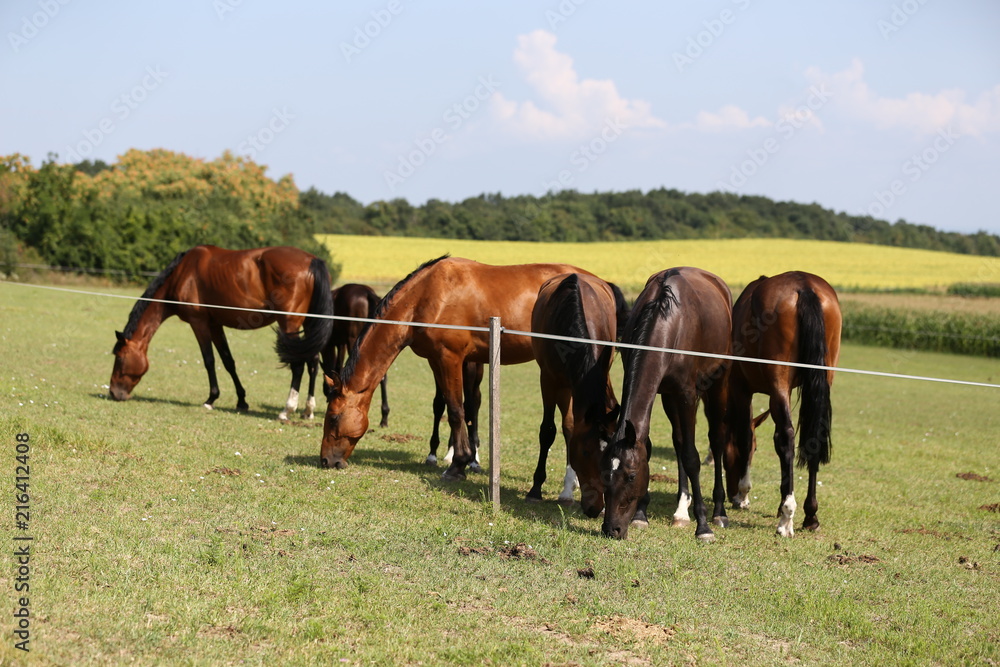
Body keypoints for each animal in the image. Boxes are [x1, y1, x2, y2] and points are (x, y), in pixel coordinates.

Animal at [109, 245, 334, 420]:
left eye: (119, 357)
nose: (113, 392)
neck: (182, 274)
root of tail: (312, 261)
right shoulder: (215, 325)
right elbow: (228, 362)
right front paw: (241, 400)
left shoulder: (199, 323)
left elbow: (209, 361)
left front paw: (211, 399)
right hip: (309, 325)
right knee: (313, 362)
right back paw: (308, 410)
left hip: (289, 324)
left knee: (298, 365)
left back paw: (287, 410)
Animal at [321, 255, 596, 478]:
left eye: (333, 417)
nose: (325, 460)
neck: (426, 296)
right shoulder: (436, 361)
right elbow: (445, 406)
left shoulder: (450, 358)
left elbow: (456, 410)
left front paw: (458, 464)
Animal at [526, 273, 628, 517]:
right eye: (585, 453)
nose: (595, 508)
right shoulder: (550, 381)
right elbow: (548, 431)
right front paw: (535, 489)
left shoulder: (600, 373)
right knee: (568, 426)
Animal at [601, 267, 732, 541]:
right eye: (603, 472)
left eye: (631, 476)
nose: (612, 529)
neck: (668, 322)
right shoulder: (663, 391)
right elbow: (651, 447)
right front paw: (641, 515)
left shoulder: (687, 395)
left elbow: (692, 457)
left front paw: (703, 526)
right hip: (670, 397)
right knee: (679, 441)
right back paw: (681, 511)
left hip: (719, 383)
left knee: (716, 439)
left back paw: (719, 511)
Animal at [724, 271, 841, 537]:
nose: (730, 493)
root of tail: (804, 285)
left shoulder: (741, 389)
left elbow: (745, 436)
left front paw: (743, 493)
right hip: (824, 377)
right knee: (814, 437)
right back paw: (810, 515)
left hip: (779, 381)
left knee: (785, 436)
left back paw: (787, 516)